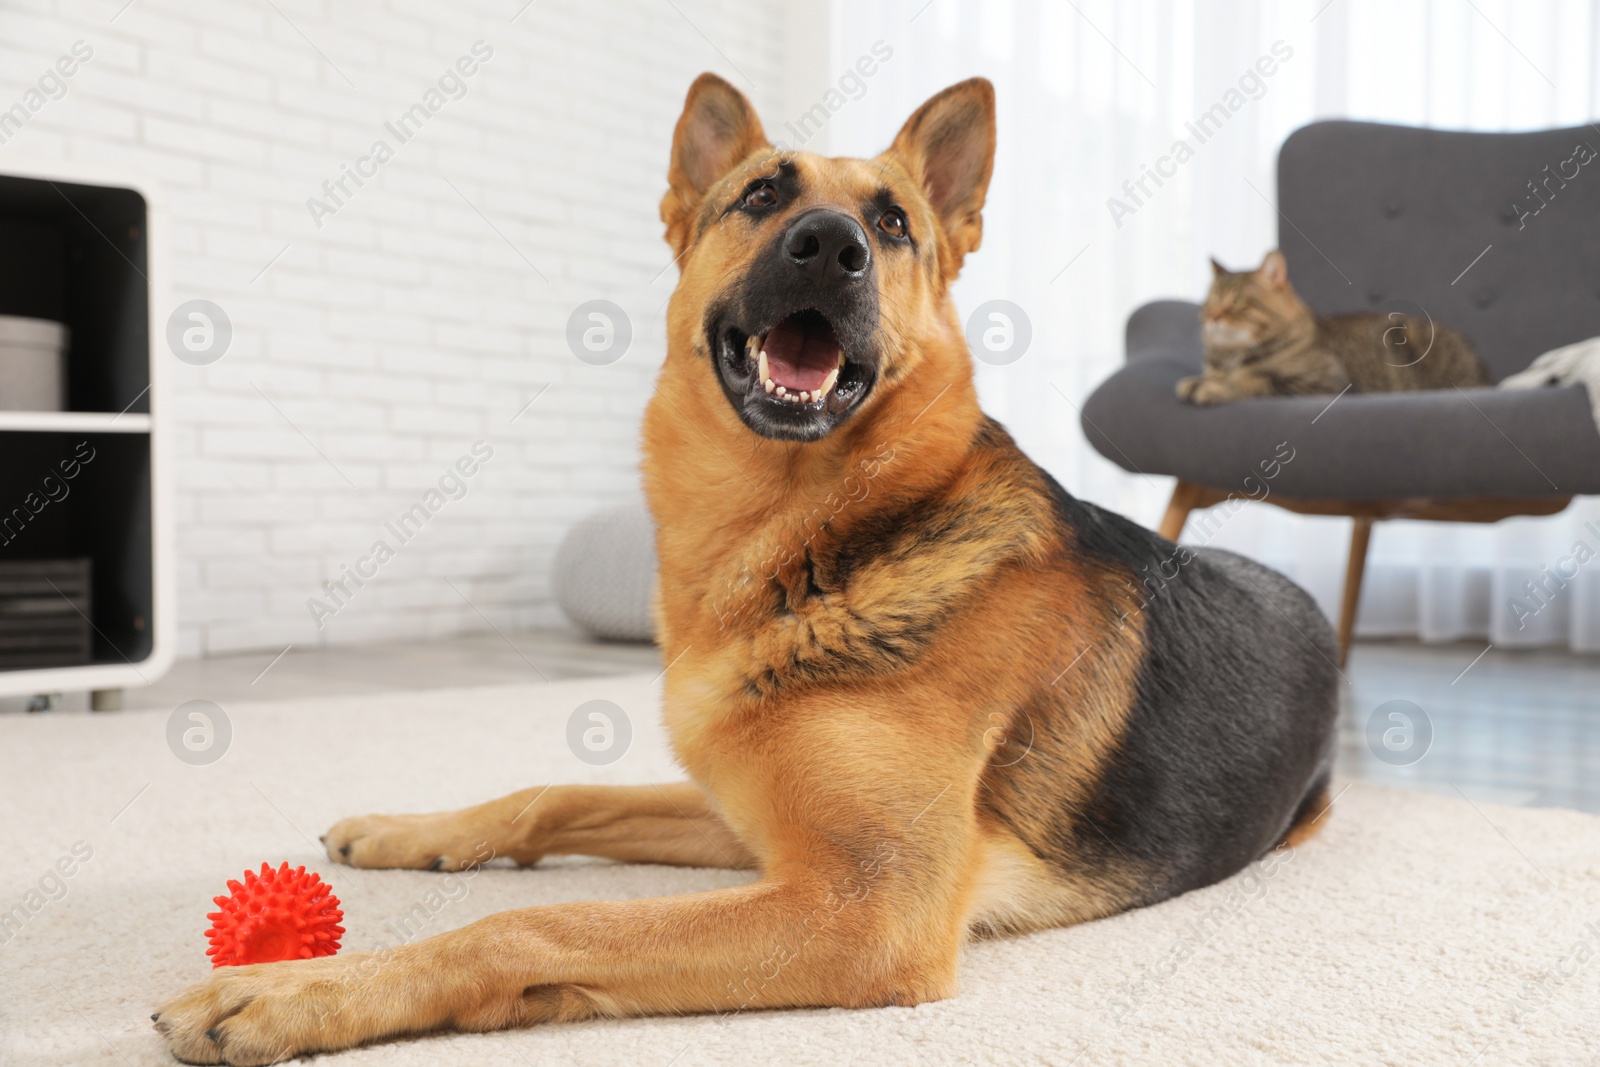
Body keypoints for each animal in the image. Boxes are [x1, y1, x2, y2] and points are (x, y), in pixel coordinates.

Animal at [152, 73, 1337, 1062]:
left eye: (892, 223)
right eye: (761, 195)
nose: (829, 246)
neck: (801, 541)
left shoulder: (861, 907)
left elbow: (541, 918)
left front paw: (303, 991)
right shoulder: (745, 824)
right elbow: (551, 792)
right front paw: (414, 832)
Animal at [1177, 251, 1484, 404]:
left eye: (1238, 301)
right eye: (1210, 301)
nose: (1210, 316)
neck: (1231, 356)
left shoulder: (1322, 383)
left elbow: (1251, 380)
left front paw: (1214, 388)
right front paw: (1198, 381)